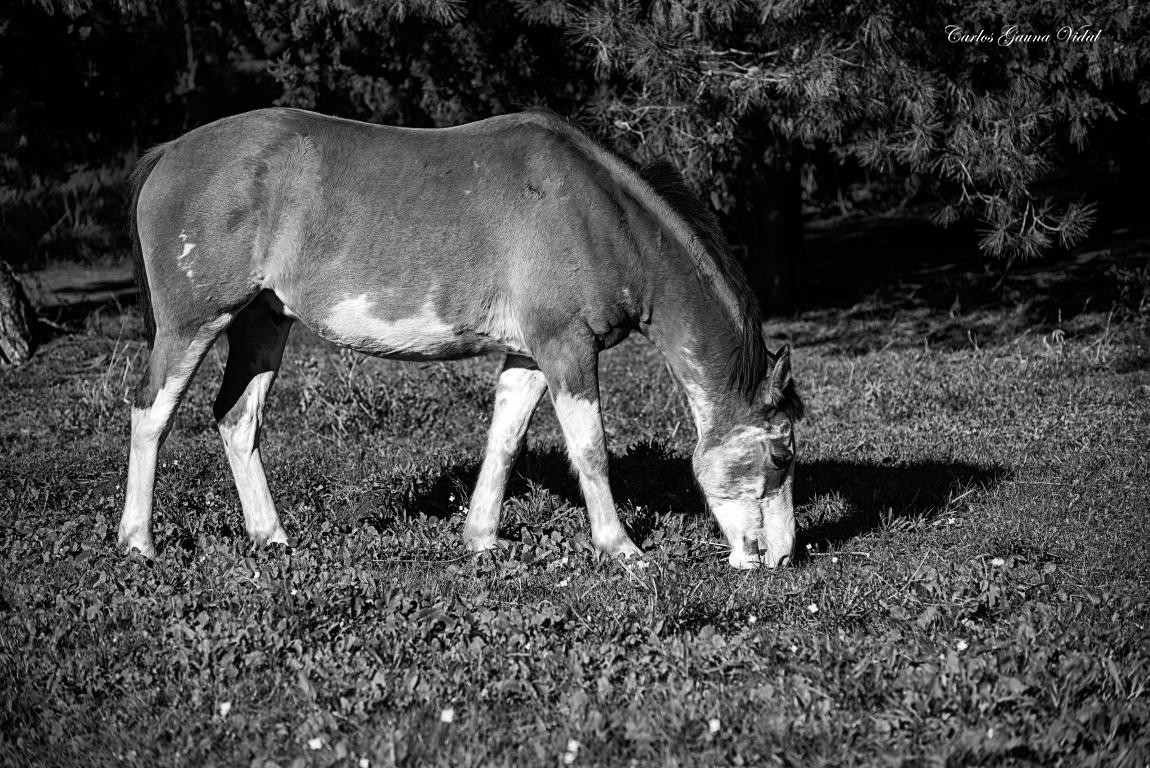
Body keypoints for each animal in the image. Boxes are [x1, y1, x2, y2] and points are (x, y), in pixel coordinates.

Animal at [114, 105, 800, 567]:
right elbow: (591, 451)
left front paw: (482, 540)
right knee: (152, 415)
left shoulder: (529, 355)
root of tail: (170, 152)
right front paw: (620, 548)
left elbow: (505, 442)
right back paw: (138, 542)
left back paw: (272, 536)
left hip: (262, 324)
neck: (602, 219)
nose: (781, 558)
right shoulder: (566, 349)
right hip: (192, 325)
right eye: (782, 457)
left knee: (237, 419)